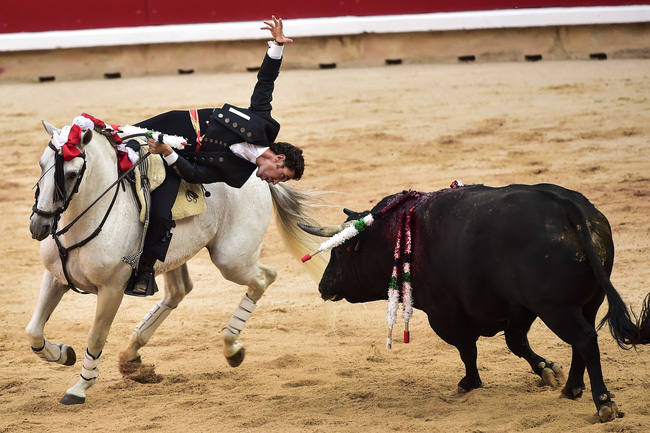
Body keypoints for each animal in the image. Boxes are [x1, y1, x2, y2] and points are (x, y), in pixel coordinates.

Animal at [26, 116, 324, 404]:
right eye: (41, 164)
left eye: (72, 173)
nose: (39, 226)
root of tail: (259, 179)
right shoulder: (55, 277)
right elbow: (34, 331)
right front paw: (64, 353)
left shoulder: (112, 289)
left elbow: (96, 337)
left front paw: (79, 388)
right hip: (172, 256)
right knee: (179, 291)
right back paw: (132, 356)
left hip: (232, 260)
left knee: (264, 277)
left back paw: (232, 348)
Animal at [300, 183, 648, 422]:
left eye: (340, 251)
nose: (323, 286)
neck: (396, 231)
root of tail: (568, 207)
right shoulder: (518, 308)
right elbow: (515, 343)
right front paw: (547, 370)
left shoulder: (444, 313)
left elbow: (467, 348)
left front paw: (469, 383)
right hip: (587, 302)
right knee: (583, 339)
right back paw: (571, 389)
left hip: (555, 308)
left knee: (585, 339)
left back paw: (603, 403)